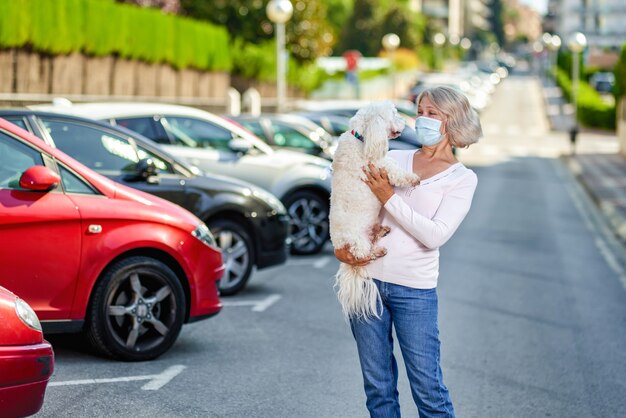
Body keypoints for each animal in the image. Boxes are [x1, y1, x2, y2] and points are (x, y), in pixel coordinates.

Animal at [326, 101, 420, 320]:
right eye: (393, 114)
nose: (405, 122)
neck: (361, 138)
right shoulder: (380, 167)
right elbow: (396, 172)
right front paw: (412, 178)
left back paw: (381, 231)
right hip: (359, 244)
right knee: (368, 254)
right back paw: (379, 249)